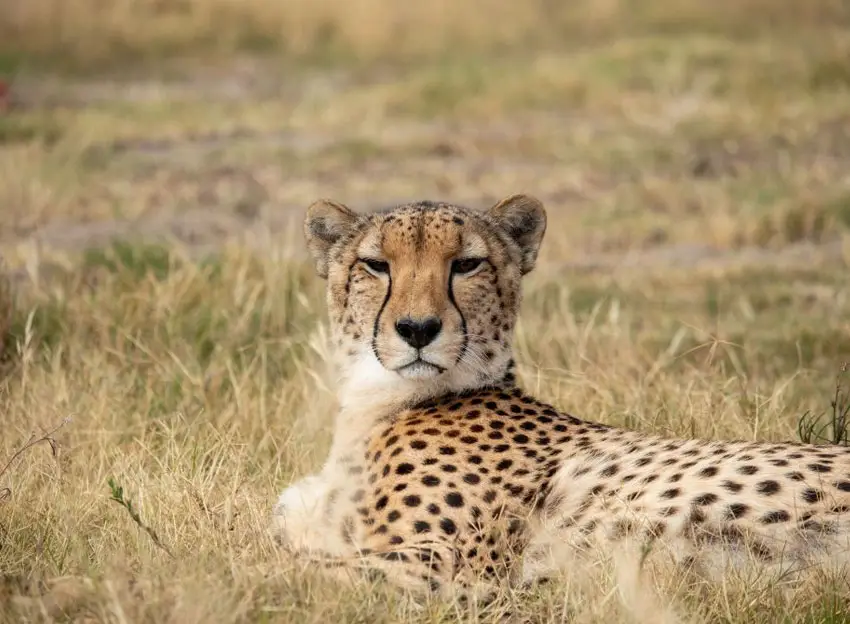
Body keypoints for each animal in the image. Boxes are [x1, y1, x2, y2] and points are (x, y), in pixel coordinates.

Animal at [271, 194, 850, 598]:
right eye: (376, 265)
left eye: (467, 265)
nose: (418, 329)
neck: (377, 401)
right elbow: (287, 546)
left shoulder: (455, 567)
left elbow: (292, 567)